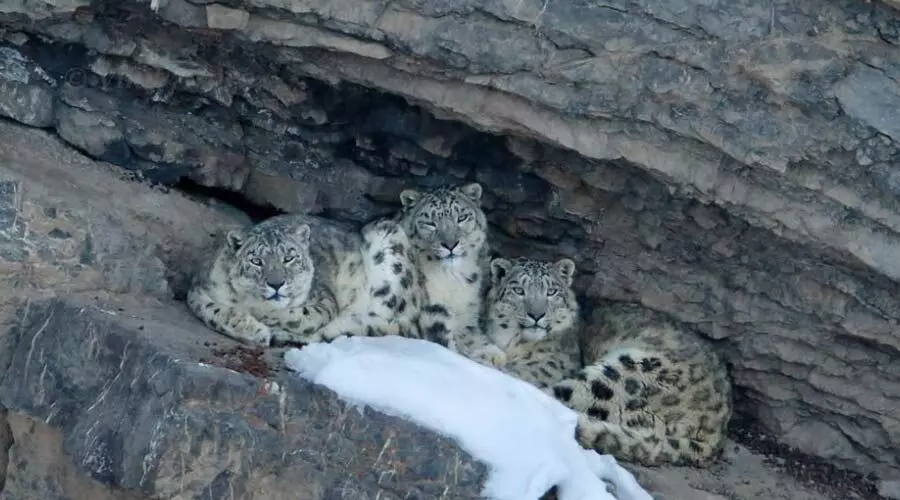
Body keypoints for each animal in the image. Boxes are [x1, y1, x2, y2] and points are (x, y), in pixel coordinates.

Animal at [186, 213, 424, 346]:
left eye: (289, 257)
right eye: (256, 261)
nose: (276, 284)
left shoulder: (323, 299)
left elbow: (305, 317)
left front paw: (265, 320)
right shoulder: (198, 292)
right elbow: (216, 312)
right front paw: (253, 330)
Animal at [396, 182, 490, 350]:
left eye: (462, 217)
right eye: (430, 223)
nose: (450, 244)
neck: (450, 279)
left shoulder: (468, 314)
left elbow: (471, 336)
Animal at [460, 256, 733, 468]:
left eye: (551, 291)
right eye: (519, 290)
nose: (537, 314)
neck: (510, 340)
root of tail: (716, 433)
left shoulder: (545, 369)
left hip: (628, 372)